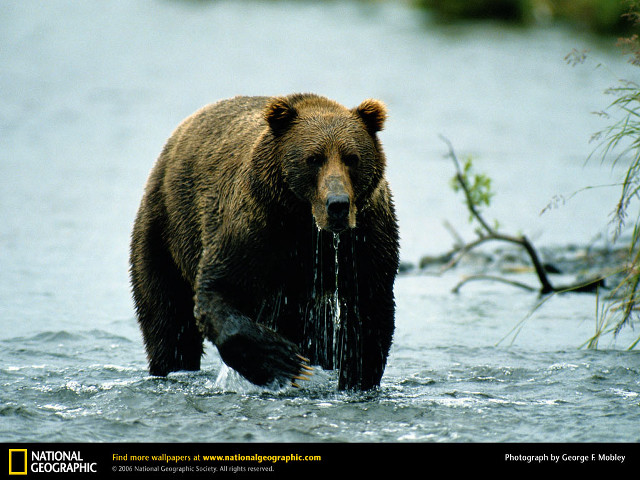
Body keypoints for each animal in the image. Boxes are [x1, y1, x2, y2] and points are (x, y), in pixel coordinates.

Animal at [129, 93, 399, 390]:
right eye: (313, 158)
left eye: (352, 158)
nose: (337, 204)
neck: (307, 225)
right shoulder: (256, 229)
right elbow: (218, 289)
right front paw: (283, 360)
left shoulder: (365, 240)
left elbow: (368, 315)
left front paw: (355, 379)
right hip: (164, 227)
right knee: (168, 319)